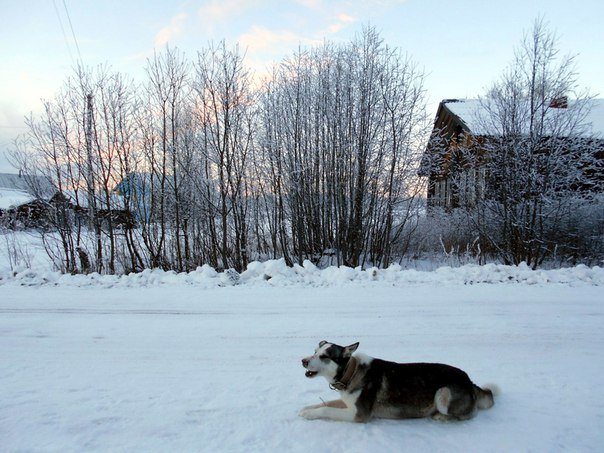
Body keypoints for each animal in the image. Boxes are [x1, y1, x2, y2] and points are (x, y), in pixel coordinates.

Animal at [300, 340, 496, 422]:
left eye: (324, 356)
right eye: (315, 351)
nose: (303, 361)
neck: (351, 371)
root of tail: (470, 381)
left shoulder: (359, 414)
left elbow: (326, 409)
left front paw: (309, 414)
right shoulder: (348, 402)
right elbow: (325, 403)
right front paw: (305, 409)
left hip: (443, 394)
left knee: (467, 415)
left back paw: (440, 416)